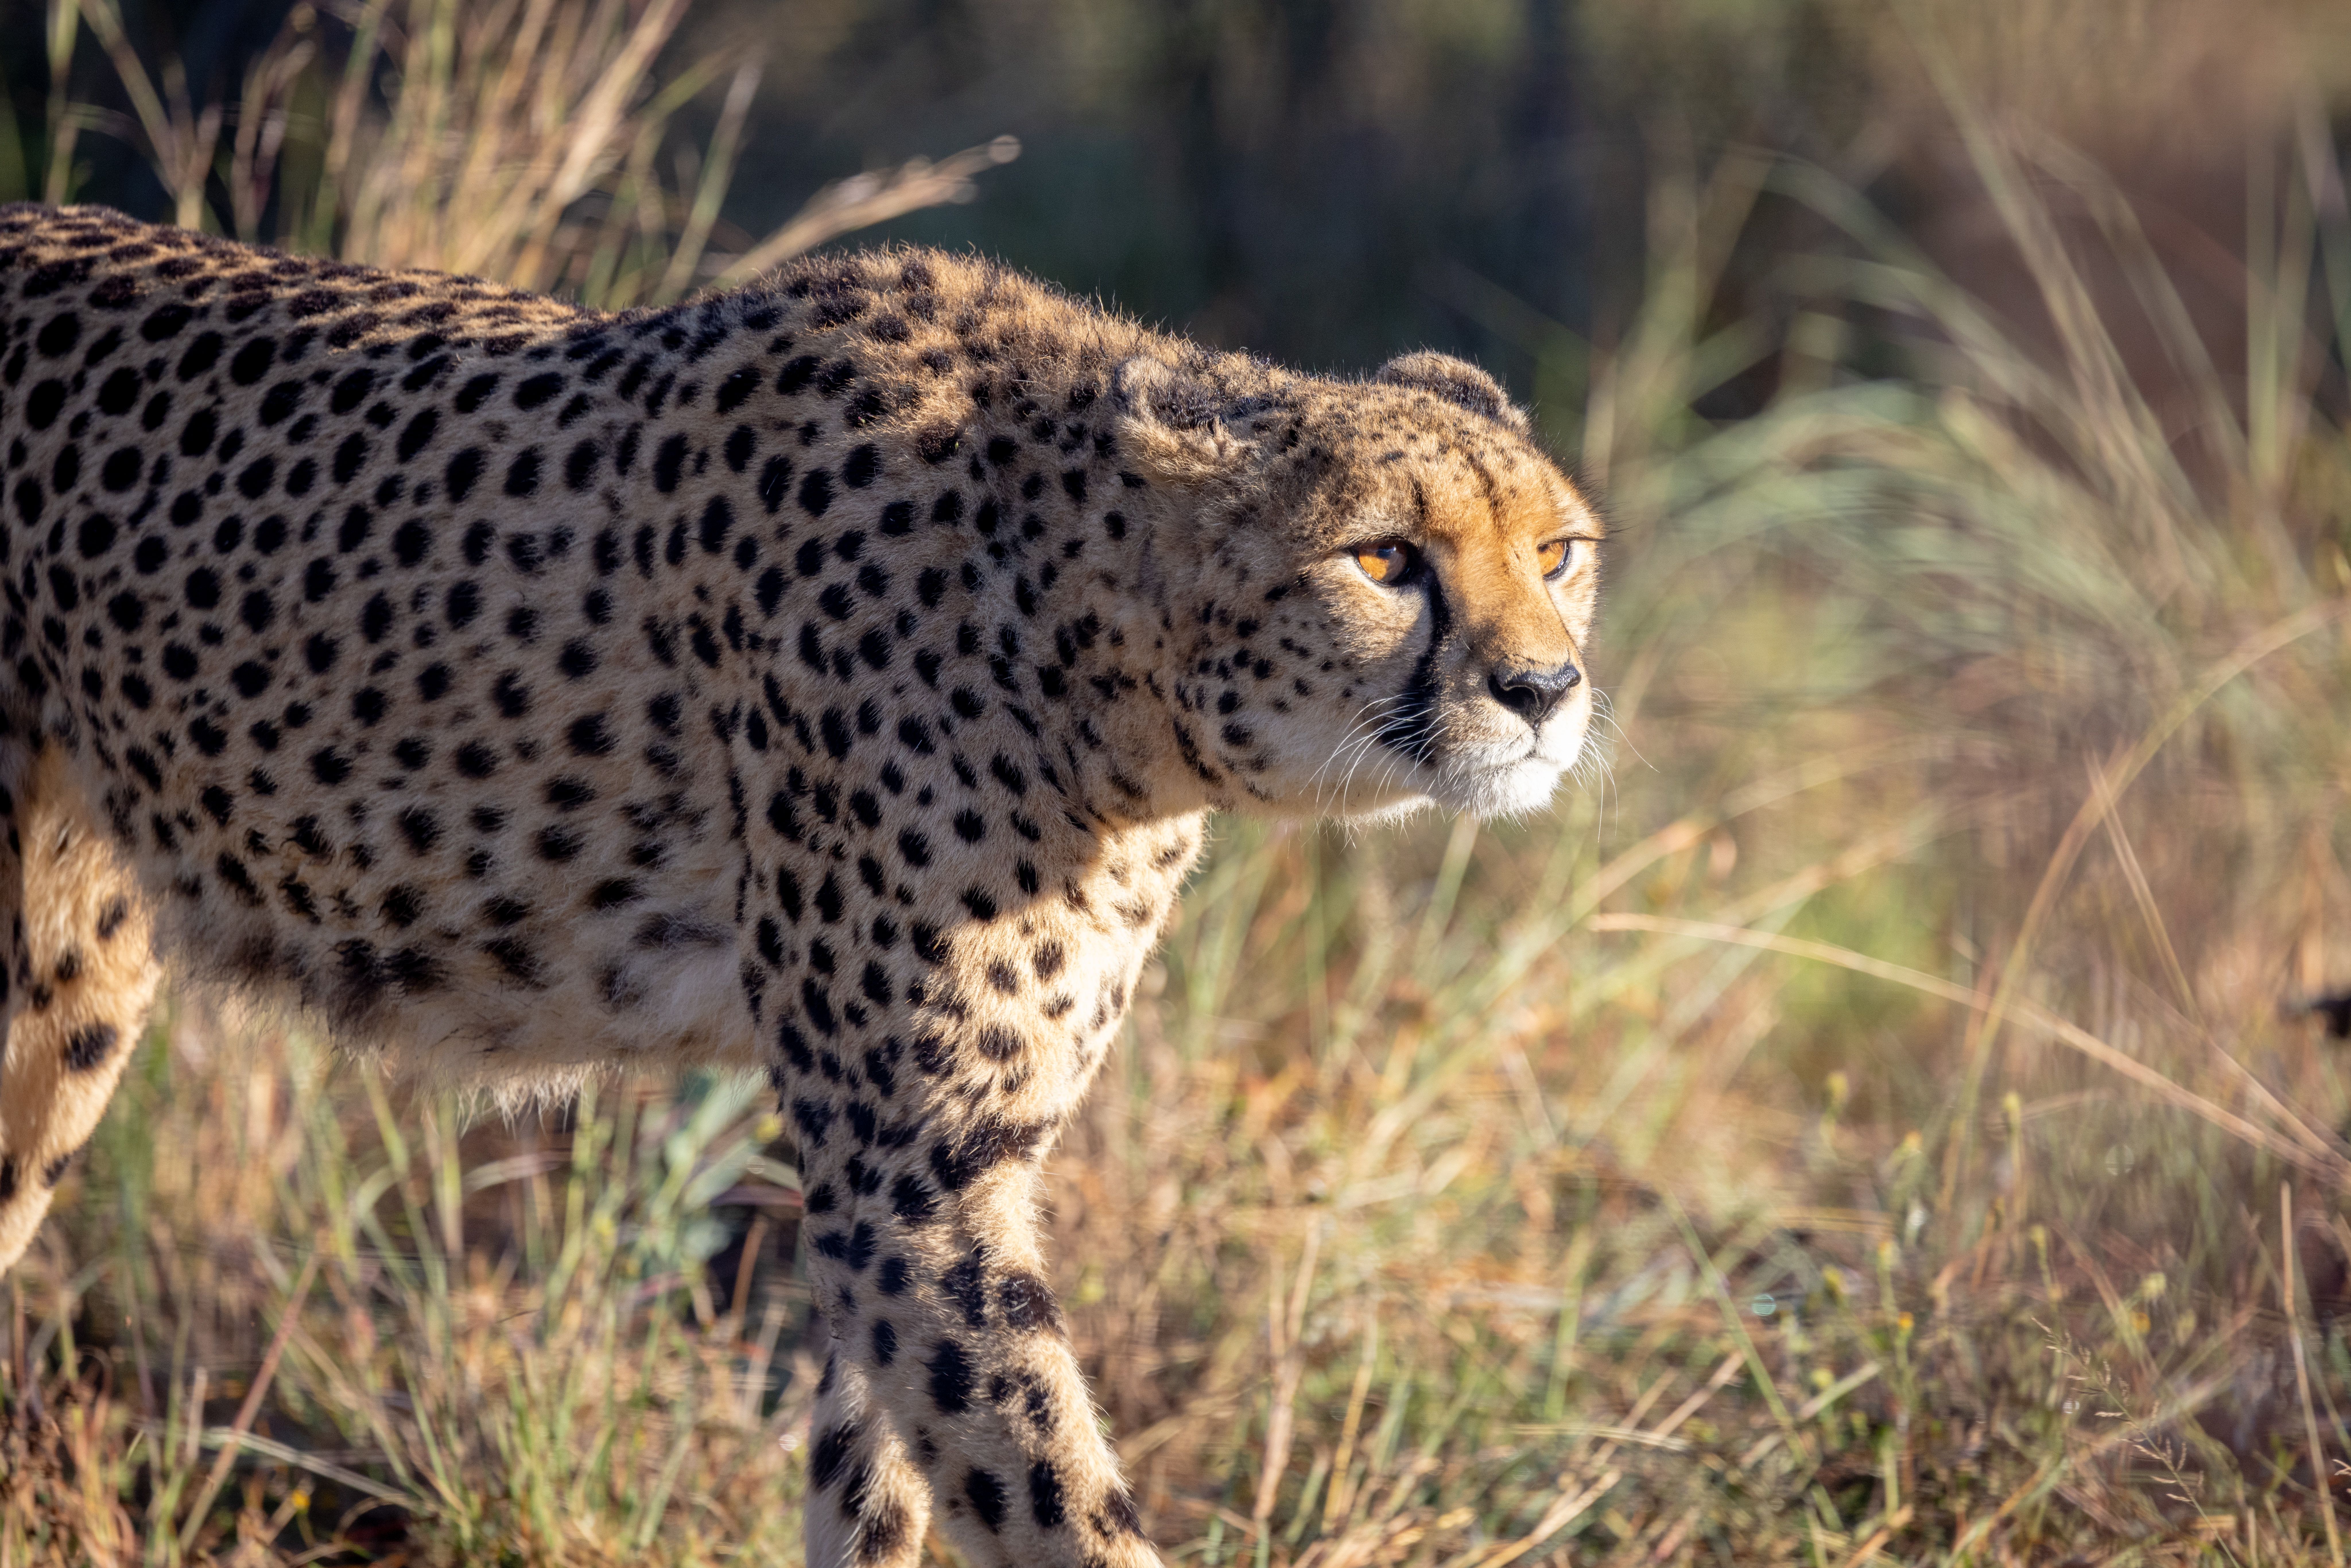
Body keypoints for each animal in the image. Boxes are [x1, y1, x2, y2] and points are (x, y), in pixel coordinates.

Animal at [0, 202, 1603, 1568]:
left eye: (1558, 551)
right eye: (1383, 559)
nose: (1544, 691)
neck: (1087, 651)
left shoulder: (924, 1165)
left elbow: (885, 1475)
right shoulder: (907, 1168)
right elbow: (1053, 1495)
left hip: (77, 978)